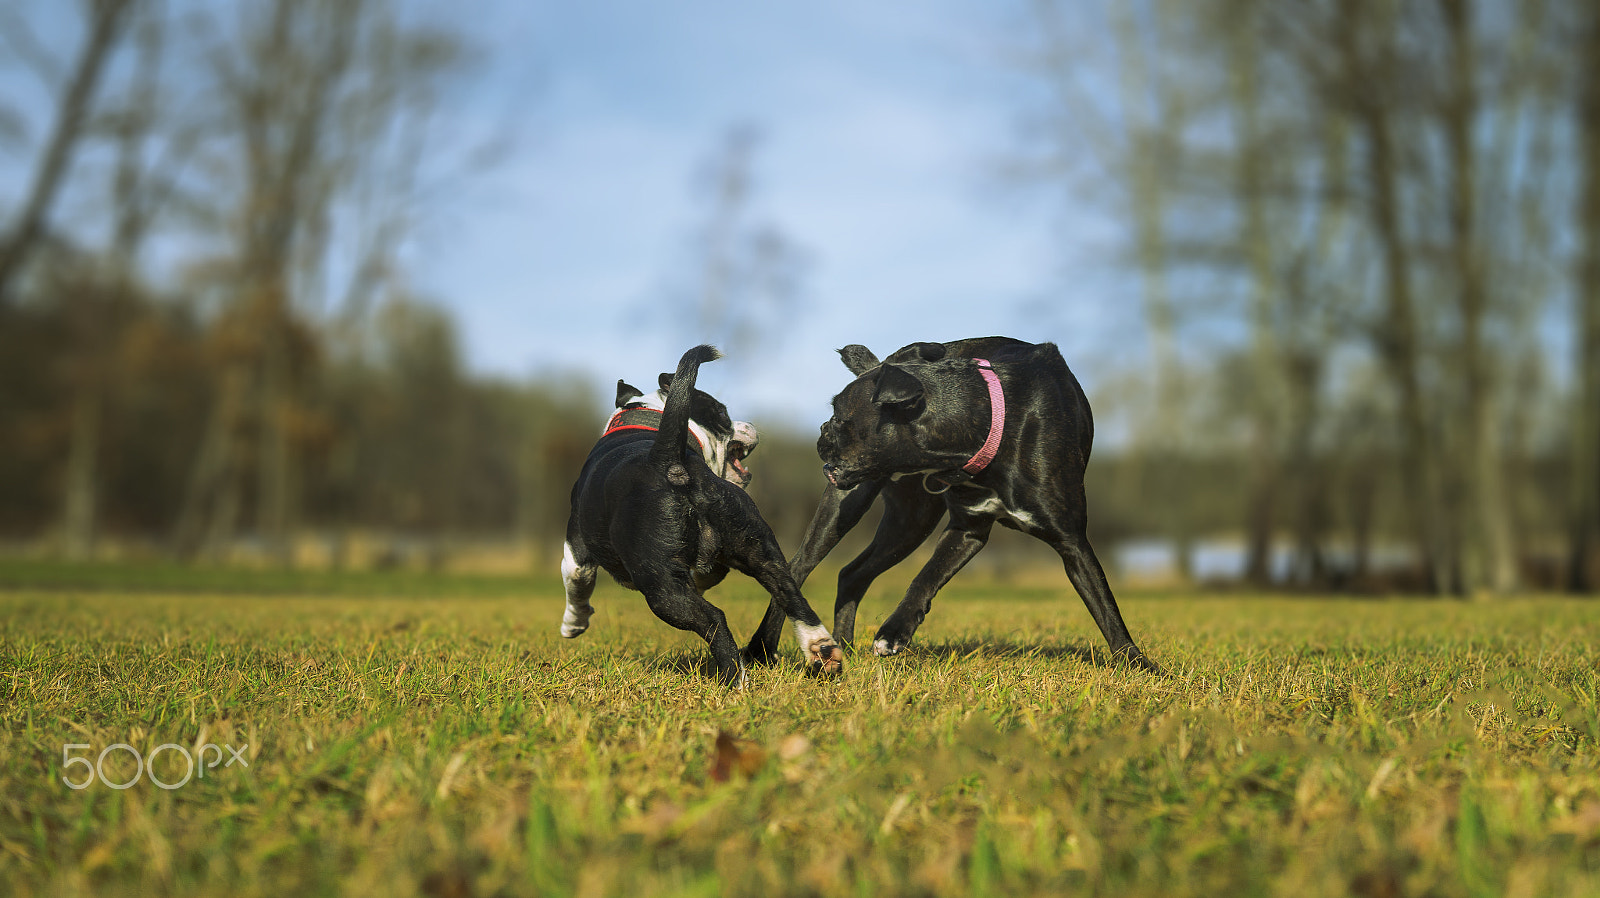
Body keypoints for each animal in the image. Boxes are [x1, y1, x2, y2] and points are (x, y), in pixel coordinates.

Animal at [560, 344, 844, 685]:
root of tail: (669, 460)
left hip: (662, 587)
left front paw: (573, 624)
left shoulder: (576, 549)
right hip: (760, 550)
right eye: (723, 413)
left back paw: (735, 680)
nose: (748, 425)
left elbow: (576, 584)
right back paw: (821, 650)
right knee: (790, 593)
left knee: (714, 619)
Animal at [736, 336, 1164, 672]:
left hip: (909, 522)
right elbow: (924, 577)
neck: (991, 418)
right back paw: (762, 650)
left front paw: (1137, 664)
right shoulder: (967, 526)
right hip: (850, 507)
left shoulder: (1047, 539)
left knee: (853, 573)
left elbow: (1104, 605)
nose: (822, 432)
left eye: (840, 417)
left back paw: (846, 647)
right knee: (797, 569)